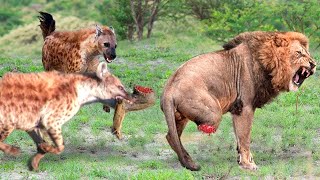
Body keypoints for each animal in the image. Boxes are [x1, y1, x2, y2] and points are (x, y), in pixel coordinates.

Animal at [161, 31, 316, 171]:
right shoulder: (245, 107)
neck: (268, 64)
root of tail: (169, 89)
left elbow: (239, 136)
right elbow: (245, 138)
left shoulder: (237, 109)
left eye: (307, 53)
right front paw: (248, 165)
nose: (314, 64)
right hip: (212, 113)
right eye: (299, 53)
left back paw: (188, 162)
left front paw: (242, 159)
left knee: (171, 136)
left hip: (180, 116)